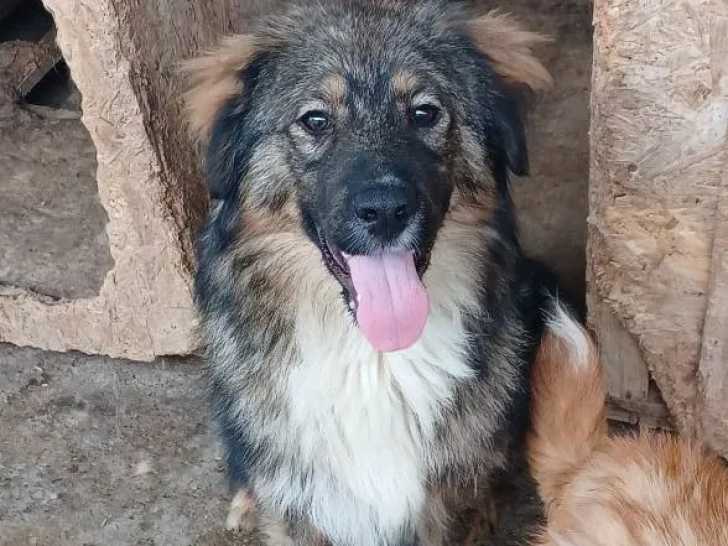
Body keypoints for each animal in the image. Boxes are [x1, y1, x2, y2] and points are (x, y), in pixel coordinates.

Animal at [183, 1, 561, 544]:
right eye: (316, 120)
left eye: (424, 112)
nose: (384, 211)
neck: (374, 360)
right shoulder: (303, 508)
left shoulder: (449, 500)